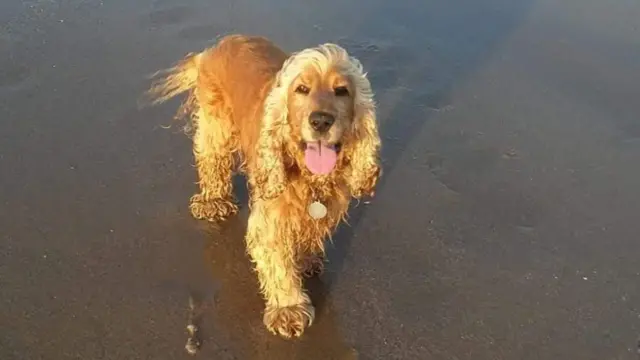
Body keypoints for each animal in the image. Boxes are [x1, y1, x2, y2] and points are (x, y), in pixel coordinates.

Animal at [144, 35, 380, 338]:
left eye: (342, 91)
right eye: (301, 89)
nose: (321, 121)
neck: (309, 176)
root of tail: (219, 44)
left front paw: (305, 260)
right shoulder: (270, 218)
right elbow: (277, 262)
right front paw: (288, 309)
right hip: (216, 126)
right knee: (212, 160)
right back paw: (213, 202)